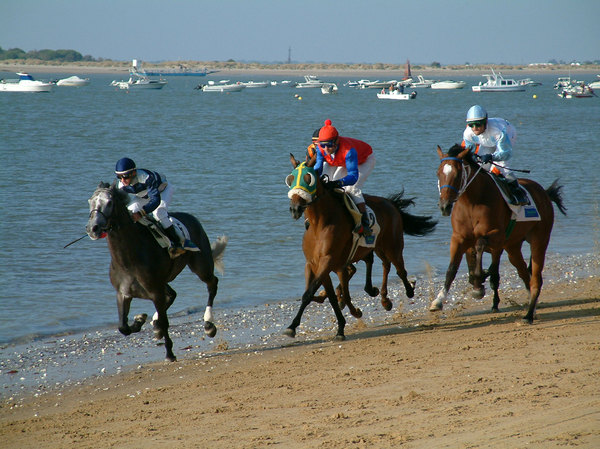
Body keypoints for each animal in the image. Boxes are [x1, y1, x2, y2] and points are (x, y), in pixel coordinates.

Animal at [88, 182, 229, 360]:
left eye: (109, 202)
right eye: (90, 201)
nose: (93, 228)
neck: (129, 259)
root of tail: (193, 218)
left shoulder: (155, 291)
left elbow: (164, 322)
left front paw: (170, 353)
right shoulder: (123, 293)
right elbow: (123, 327)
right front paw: (140, 320)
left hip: (201, 266)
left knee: (212, 284)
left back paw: (208, 324)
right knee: (172, 295)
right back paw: (155, 323)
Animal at [286, 154, 436, 340]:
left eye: (309, 178)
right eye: (290, 179)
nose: (295, 208)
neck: (319, 224)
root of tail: (390, 203)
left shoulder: (328, 261)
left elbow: (310, 293)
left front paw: (293, 327)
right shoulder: (314, 264)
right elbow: (326, 295)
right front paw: (338, 326)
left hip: (392, 245)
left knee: (399, 269)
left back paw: (408, 290)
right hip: (376, 247)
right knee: (384, 264)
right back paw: (383, 298)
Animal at [428, 144, 564, 322]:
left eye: (457, 174)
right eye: (438, 173)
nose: (444, 206)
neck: (472, 202)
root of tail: (544, 193)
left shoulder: (497, 236)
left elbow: (480, 246)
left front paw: (478, 284)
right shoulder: (458, 238)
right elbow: (451, 269)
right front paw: (438, 300)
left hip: (540, 240)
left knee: (535, 278)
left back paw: (528, 315)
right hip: (513, 247)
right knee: (524, 273)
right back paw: (531, 307)